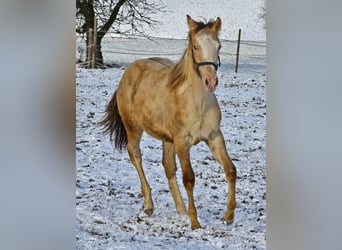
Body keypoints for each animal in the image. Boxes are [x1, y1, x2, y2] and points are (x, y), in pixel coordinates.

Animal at [100, 15, 236, 230]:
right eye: (195, 46)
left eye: (219, 46)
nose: (210, 82)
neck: (198, 103)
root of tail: (128, 72)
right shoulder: (182, 142)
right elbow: (189, 178)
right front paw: (195, 222)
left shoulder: (214, 136)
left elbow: (230, 169)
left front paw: (229, 215)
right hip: (134, 128)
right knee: (135, 155)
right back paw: (149, 205)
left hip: (167, 139)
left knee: (168, 166)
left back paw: (180, 208)